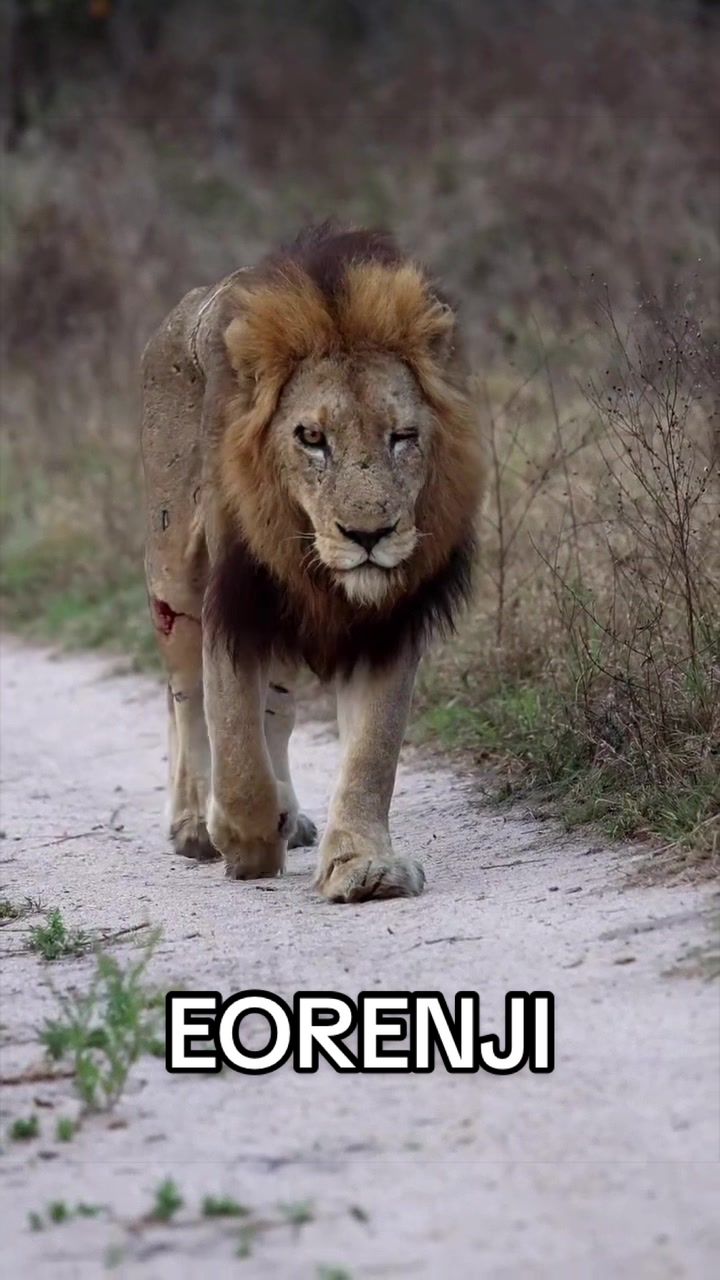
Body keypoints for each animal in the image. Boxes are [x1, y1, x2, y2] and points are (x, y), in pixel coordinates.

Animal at [141, 224, 484, 902]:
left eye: (403, 437)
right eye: (311, 438)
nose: (369, 535)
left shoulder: (389, 621)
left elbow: (372, 753)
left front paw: (363, 865)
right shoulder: (236, 600)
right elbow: (234, 741)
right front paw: (245, 839)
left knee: (276, 710)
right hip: (174, 582)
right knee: (185, 699)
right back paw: (194, 825)